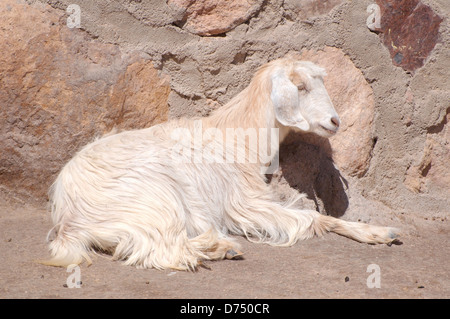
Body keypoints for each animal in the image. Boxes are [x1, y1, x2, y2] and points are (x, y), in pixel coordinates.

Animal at [42, 53, 400, 272]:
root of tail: (69, 221)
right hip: (156, 199)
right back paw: (219, 246)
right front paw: (377, 232)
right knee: (167, 250)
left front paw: (381, 233)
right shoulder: (243, 202)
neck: (237, 136)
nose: (334, 121)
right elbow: (313, 218)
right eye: (300, 87)